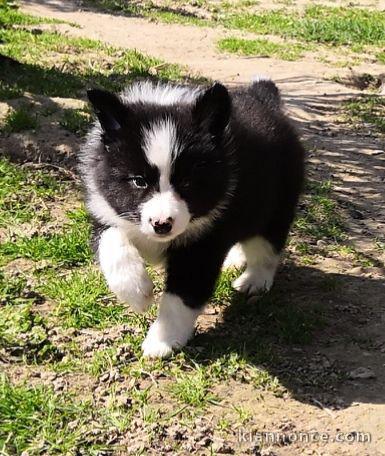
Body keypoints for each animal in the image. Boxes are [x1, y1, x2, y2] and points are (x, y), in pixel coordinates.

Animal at [79, 78, 304, 358]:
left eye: (187, 182)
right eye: (139, 181)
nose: (162, 225)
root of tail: (264, 97)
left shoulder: (203, 245)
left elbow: (181, 296)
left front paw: (162, 340)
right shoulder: (110, 212)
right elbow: (111, 240)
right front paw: (137, 291)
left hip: (276, 205)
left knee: (266, 246)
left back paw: (254, 280)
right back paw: (235, 260)